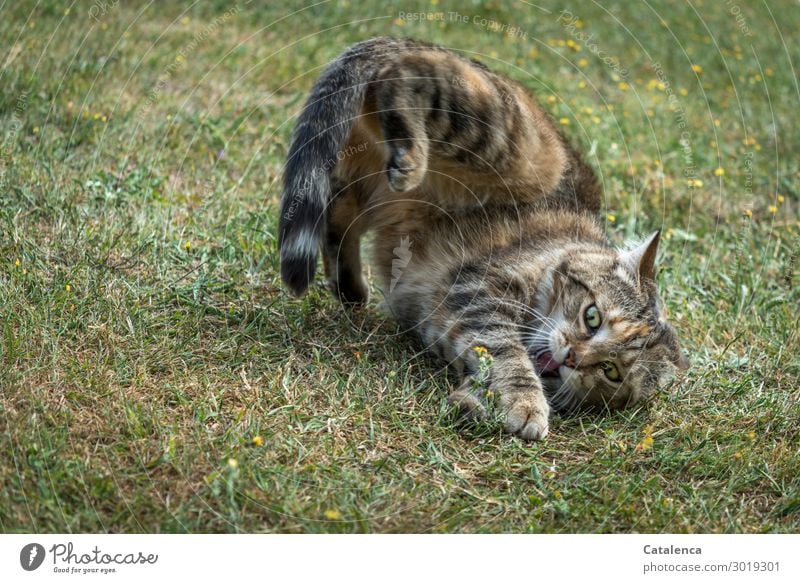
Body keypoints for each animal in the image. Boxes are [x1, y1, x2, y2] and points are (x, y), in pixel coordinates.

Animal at [276, 37, 688, 442]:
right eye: (592, 317)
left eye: (611, 372)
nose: (573, 357)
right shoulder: (481, 288)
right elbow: (507, 353)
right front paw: (525, 403)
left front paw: (473, 403)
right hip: (515, 149)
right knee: (407, 78)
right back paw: (409, 157)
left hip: (359, 187)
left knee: (334, 216)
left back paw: (350, 288)